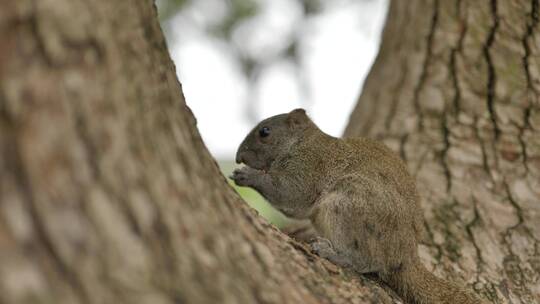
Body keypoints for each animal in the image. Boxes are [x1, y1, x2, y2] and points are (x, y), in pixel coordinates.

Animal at [230, 109, 484, 304]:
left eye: (265, 131)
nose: (238, 156)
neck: (301, 142)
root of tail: (406, 257)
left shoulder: (309, 167)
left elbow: (290, 194)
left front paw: (249, 175)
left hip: (349, 207)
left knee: (366, 261)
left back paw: (332, 253)